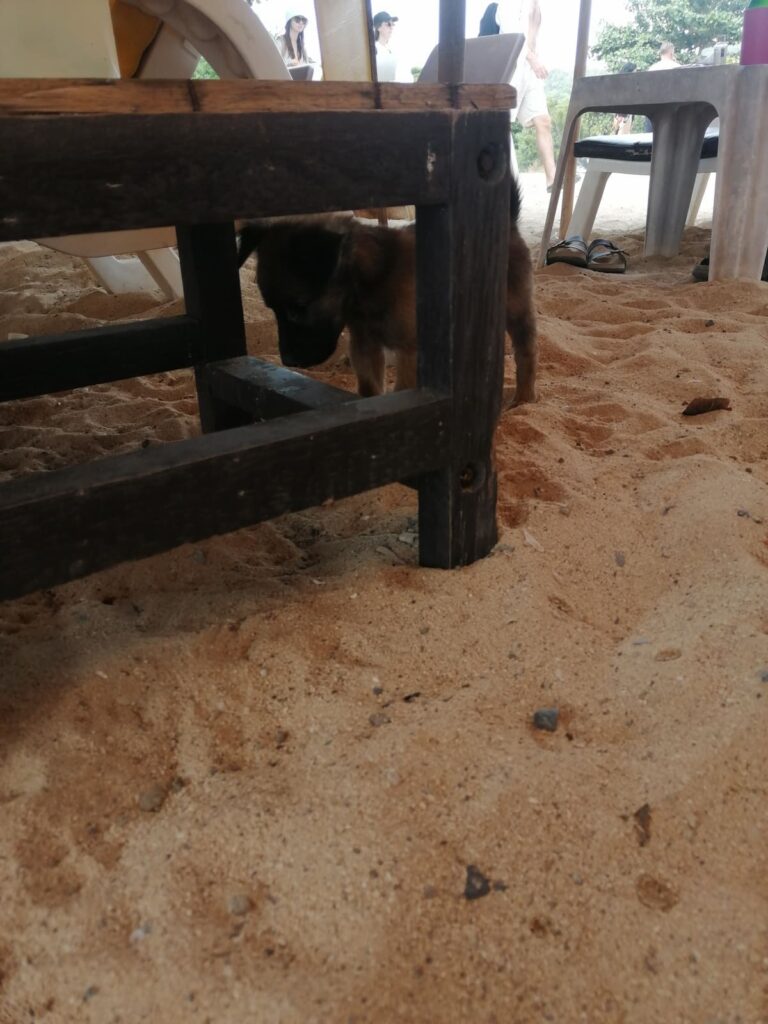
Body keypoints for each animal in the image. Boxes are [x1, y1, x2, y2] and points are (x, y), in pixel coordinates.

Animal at [237, 178, 536, 405]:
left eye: (299, 307)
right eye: (272, 309)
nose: (289, 361)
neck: (373, 279)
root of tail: (508, 222)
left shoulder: (411, 352)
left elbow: (402, 390)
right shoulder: (365, 345)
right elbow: (370, 389)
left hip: (515, 309)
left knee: (526, 352)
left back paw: (523, 399)